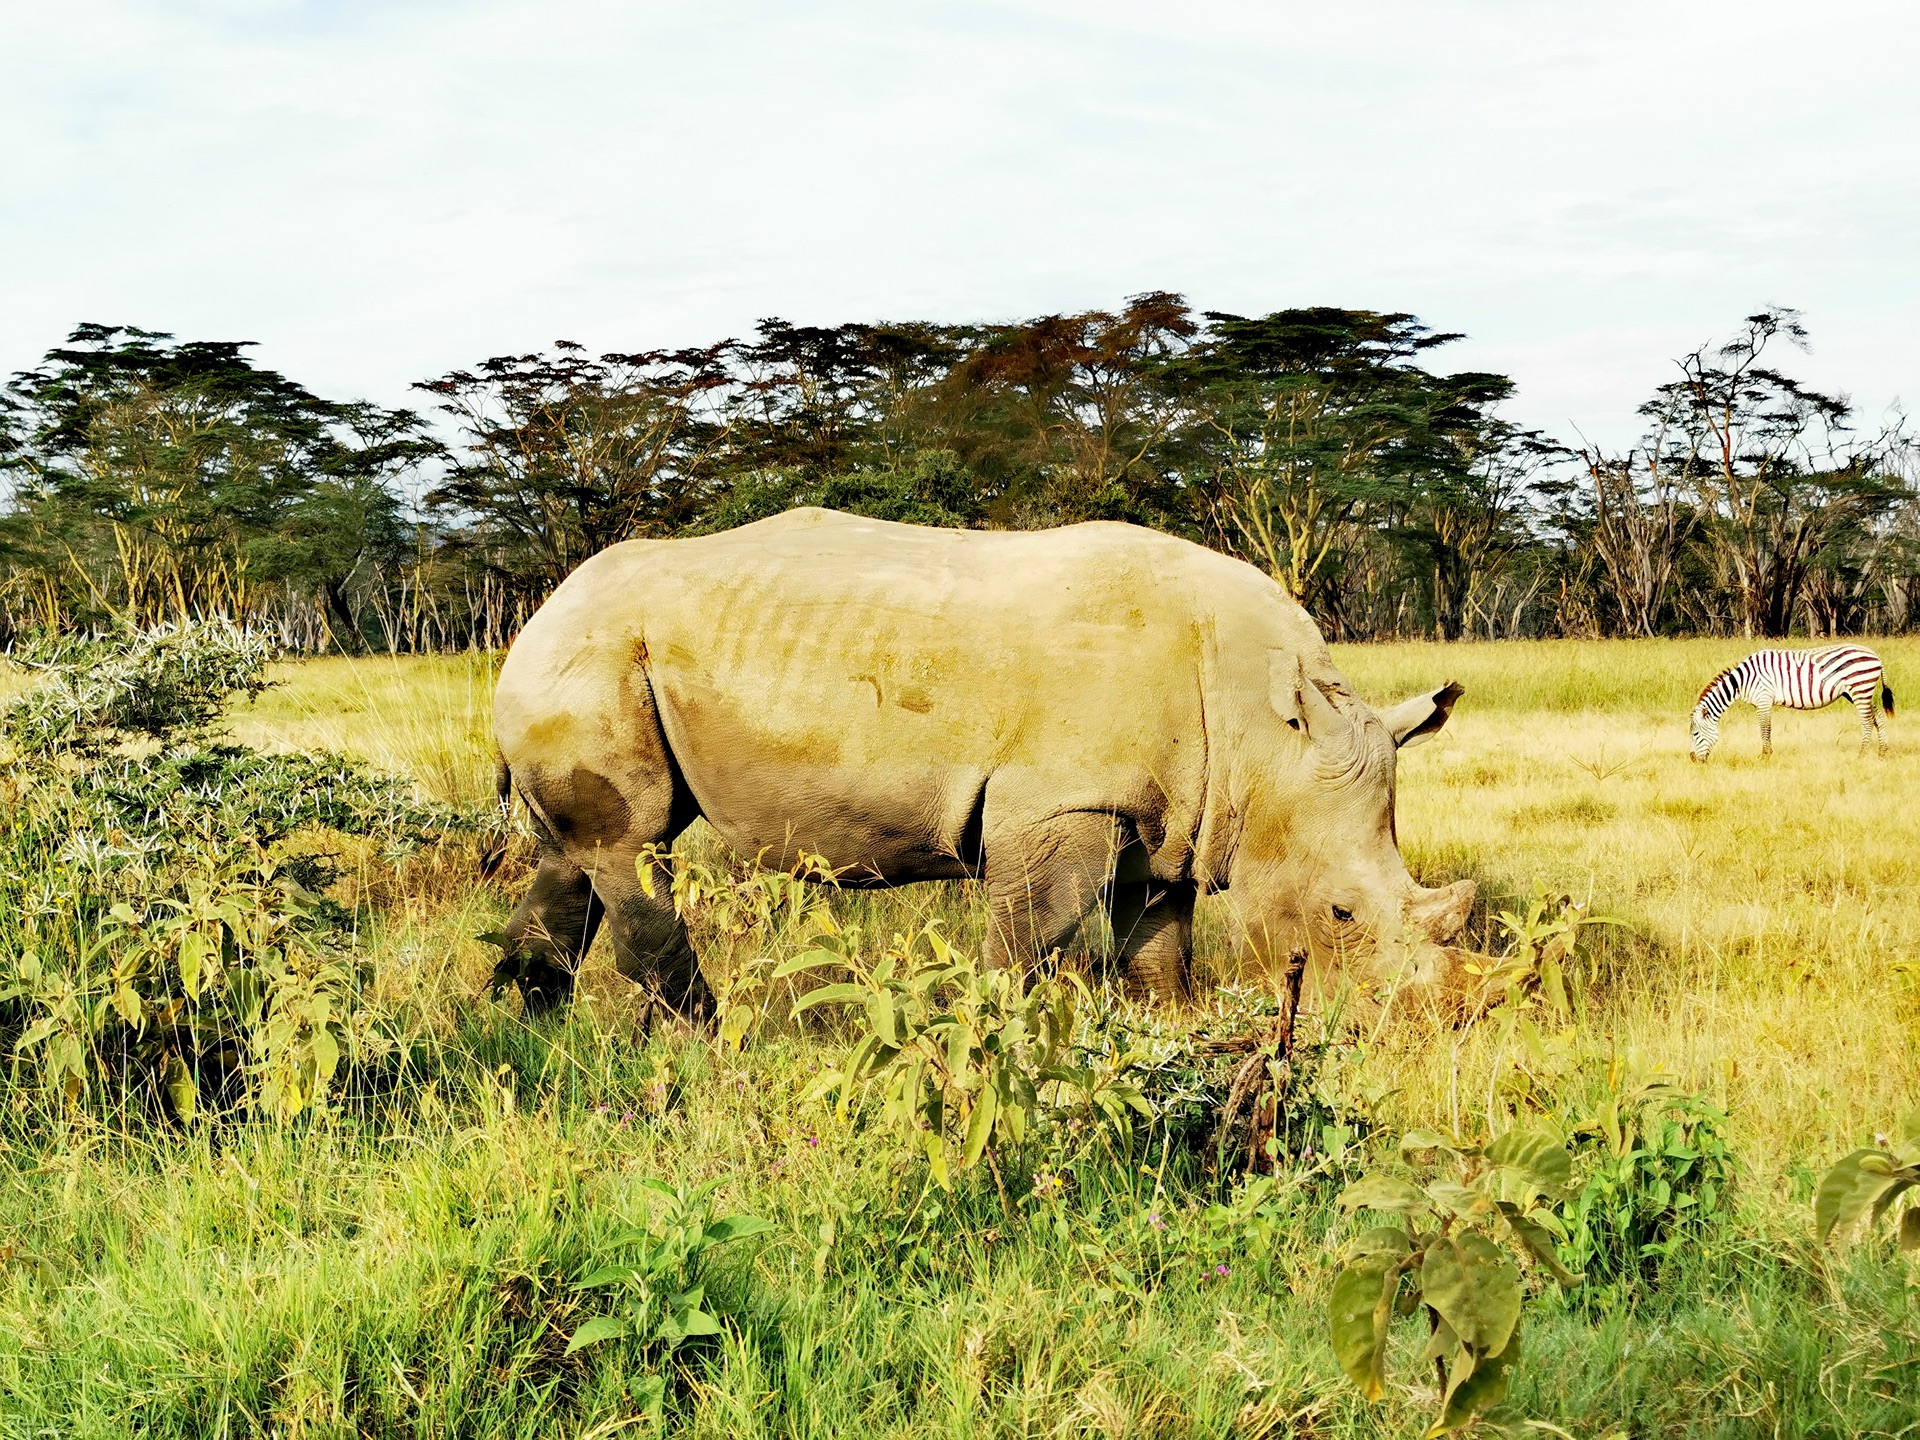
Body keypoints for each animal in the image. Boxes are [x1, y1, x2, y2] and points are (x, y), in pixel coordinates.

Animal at [1697, 645, 1889, 760]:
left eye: (1695, 734)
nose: (1693, 759)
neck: (1743, 680)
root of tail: (1876, 656)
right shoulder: (1761, 702)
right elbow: (1765, 729)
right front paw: (1766, 754)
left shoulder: (1763, 700)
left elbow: (1765, 729)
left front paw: (1765, 756)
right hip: (1857, 693)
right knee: (1877, 717)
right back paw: (1882, 752)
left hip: (1860, 689)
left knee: (1867, 721)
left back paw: (1861, 755)